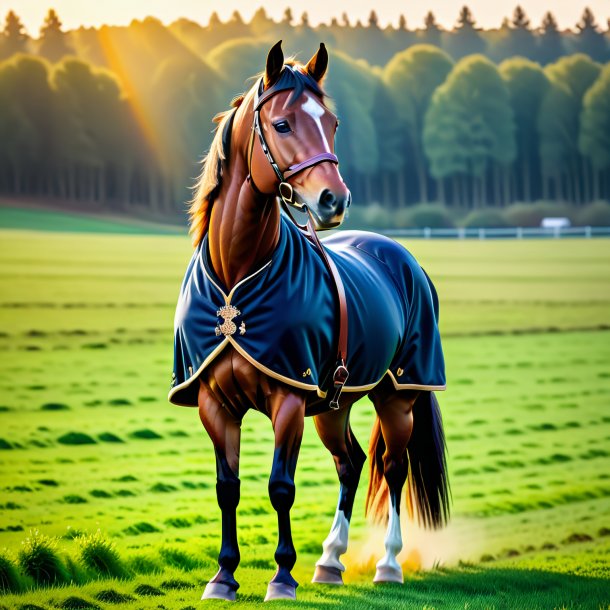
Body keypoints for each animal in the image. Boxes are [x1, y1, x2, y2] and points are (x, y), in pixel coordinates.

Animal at [169, 41, 448, 600]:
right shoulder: (214, 404)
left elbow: (281, 487)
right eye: (281, 124)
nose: (333, 199)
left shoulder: (290, 400)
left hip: (397, 397)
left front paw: (281, 576)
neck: (237, 277)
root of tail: (403, 259)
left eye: (333, 123)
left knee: (394, 467)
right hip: (335, 406)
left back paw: (387, 563)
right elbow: (227, 488)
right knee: (351, 463)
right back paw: (330, 560)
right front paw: (223, 576)